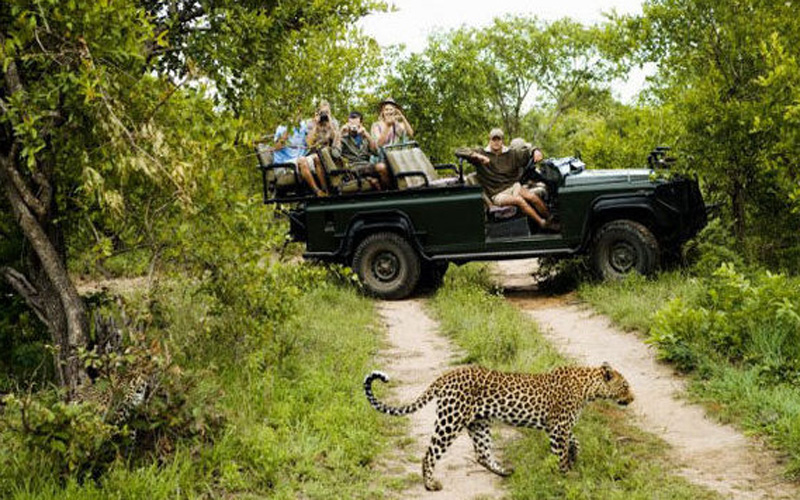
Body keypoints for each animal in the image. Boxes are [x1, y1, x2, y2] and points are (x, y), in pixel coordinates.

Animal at [366, 362, 636, 490]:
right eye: (625, 386)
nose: (633, 398)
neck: (588, 388)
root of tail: (445, 376)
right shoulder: (558, 427)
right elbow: (559, 454)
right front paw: (566, 475)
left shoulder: (559, 427)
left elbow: (574, 441)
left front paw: (574, 455)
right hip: (450, 420)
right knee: (430, 453)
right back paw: (430, 484)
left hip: (479, 423)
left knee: (482, 454)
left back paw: (504, 471)